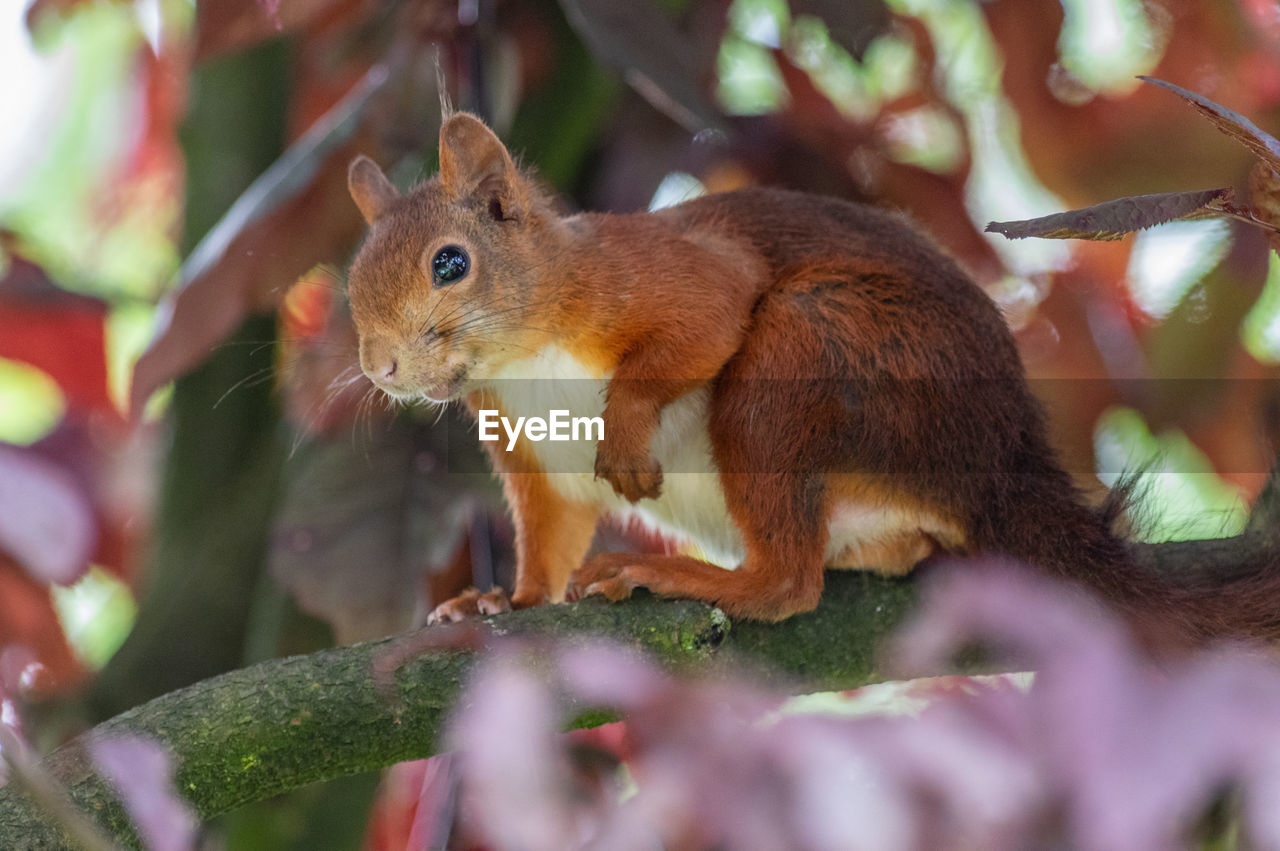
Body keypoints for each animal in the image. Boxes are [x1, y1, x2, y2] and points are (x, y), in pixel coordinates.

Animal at [343, 112, 1280, 644]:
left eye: (451, 262)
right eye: (353, 277)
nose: (378, 366)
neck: (527, 359)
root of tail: (998, 460)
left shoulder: (644, 275)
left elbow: (709, 314)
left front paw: (628, 433)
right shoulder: (531, 450)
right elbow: (548, 533)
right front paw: (504, 601)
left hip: (806, 354)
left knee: (792, 582)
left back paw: (695, 578)